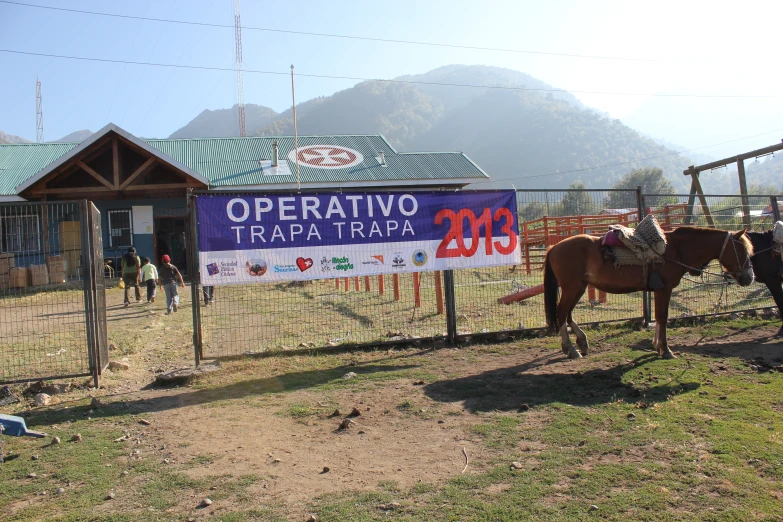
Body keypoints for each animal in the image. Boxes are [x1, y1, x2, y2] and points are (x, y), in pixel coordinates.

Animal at [544, 226, 752, 358]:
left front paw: (656, 345)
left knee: (568, 313)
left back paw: (581, 342)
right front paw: (665, 349)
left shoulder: (658, 290)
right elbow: (662, 316)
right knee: (562, 313)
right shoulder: (665, 288)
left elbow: (659, 317)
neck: (674, 250)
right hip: (571, 288)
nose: (749, 277)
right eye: (741, 251)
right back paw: (570, 349)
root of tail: (554, 247)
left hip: (579, 287)